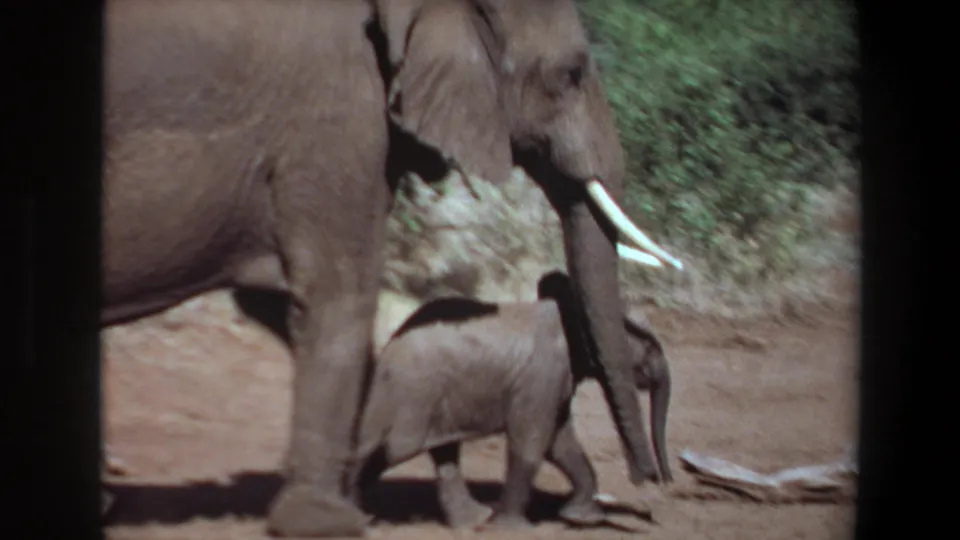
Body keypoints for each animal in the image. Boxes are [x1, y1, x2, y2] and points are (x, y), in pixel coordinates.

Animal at [348, 270, 672, 529]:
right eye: (649, 346)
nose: (660, 480)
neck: (566, 312)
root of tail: (388, 346)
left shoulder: (554, 380)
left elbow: (560, 444)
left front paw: (579, 517)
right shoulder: (541, 374)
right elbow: (532, 442)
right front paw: (511, 528)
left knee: (437, 451)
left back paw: (470, 521)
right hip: (415, 390)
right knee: (394, 447)